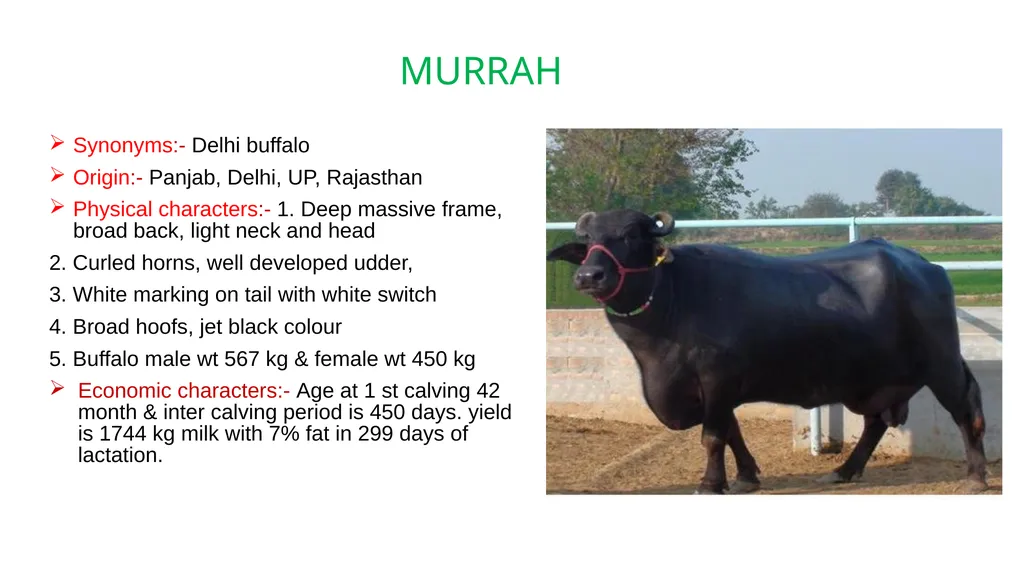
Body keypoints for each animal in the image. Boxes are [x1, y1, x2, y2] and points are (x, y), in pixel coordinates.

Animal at [547, 209, 988, 494]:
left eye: (631, 236)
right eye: (588, 241)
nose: (589, 275)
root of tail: (922, 265)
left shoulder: (716, 378)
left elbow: (713, 435)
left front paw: (710, 483)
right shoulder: (711, 388)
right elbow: (731, 430)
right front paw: (745, 476)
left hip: (942, 361)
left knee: (965, 409)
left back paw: (976, 476)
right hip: (876, 377)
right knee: (876, 423)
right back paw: (844, 471)